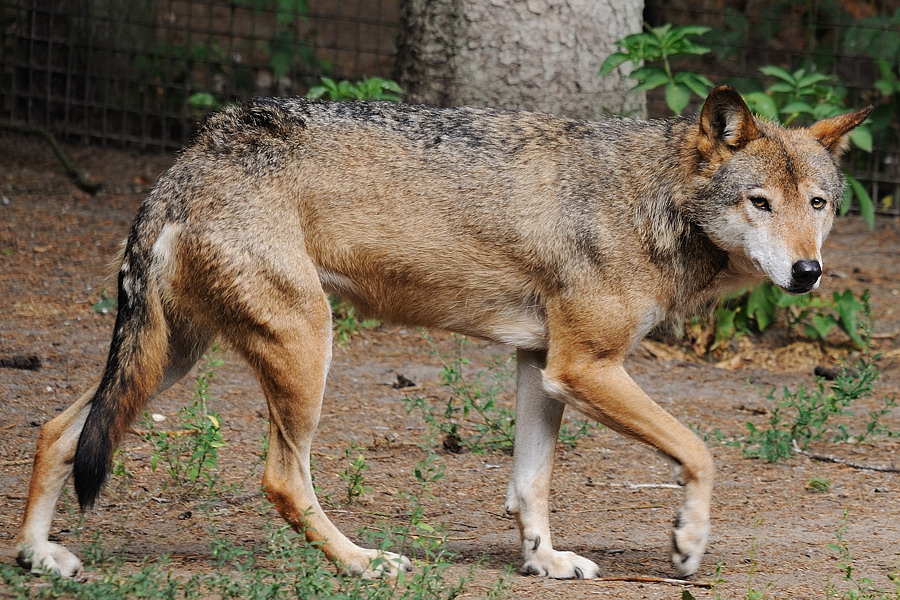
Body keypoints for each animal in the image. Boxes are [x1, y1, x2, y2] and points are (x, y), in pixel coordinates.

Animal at [15, 86, 870, 581]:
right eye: (759, 202)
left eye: (818, 203)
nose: (808, 272)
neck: (651, 200)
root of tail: (191, 159)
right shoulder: (585, 367)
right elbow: (700, 451)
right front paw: (687, 544)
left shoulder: (540, 366)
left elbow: (530, 485)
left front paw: (544, 561)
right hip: (302, 350)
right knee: (283, 481)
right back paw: (364, 564)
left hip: (173, 357)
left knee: (58, 429)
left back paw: (37, 557)